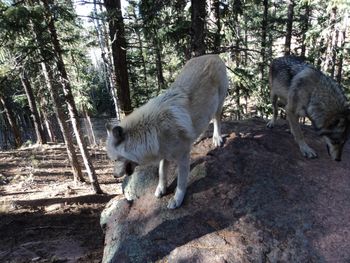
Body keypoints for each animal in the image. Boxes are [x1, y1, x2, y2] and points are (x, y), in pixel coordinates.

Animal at [105, 54, 228, 209]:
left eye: (115, 159)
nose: (114, 176)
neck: (152, 129)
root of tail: (213, 55)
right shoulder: (163, 153)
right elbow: (162, 171)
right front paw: (161, 188)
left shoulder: (183, 157)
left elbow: (181, 182)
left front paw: (177, 199)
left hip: (219, 103)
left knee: (217, 119)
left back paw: (217, 138)